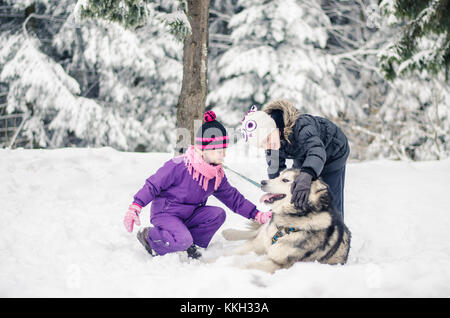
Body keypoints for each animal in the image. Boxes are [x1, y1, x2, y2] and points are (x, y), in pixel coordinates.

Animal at [221, 169, 352, 274]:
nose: (262, 182)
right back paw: (229, 233)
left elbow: (244, 265)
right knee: (256, 232)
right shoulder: (258, 244)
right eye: (278, 176)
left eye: (285, 180)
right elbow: (228, 253)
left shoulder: (279, 264)